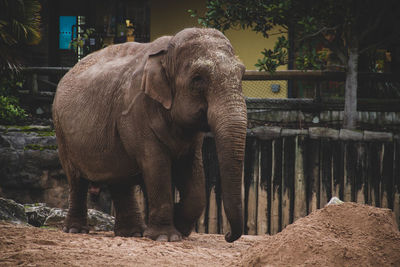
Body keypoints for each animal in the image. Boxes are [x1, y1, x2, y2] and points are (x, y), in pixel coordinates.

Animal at [52, 27, 247, 243]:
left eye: (242, 74)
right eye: (198, 78)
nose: (228, 235)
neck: (166, 51)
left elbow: (193, 173)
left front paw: (179, 226)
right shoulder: (136, 111)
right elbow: (156, 165)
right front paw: (166, 237)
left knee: (119, 178)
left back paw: (132, 233)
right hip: (61, 133)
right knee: (76, 179)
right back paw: (76, 230)